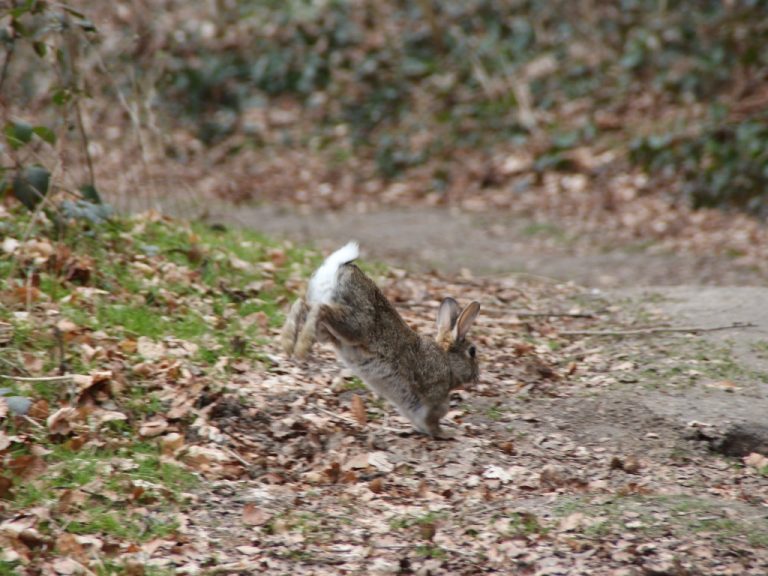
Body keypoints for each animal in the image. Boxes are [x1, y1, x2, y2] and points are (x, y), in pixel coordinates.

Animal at [281, 242, 481, 438]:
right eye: (472, 352)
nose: (477, 377)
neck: (447, 362)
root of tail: (341, 265)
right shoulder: (434, 398)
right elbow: (433, 419)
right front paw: (446, 433)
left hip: (329, 330)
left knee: (302, 305)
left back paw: (288, 343)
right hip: (355, 325)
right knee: (320, 309)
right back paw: (300, 347)